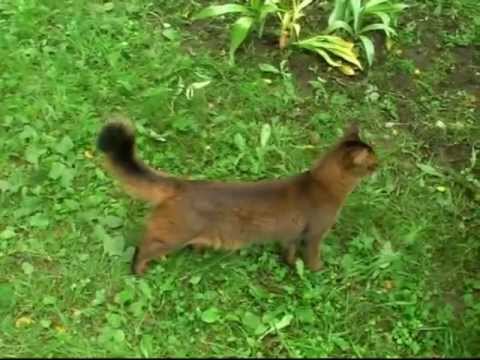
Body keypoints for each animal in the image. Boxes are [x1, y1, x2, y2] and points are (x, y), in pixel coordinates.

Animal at [95, 119, 376, 276]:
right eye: (372, 161)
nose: (380, 165)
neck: (322, 184)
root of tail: (182, 184)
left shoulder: (292, 235)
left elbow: (288, 252)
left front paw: (290, 265)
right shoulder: (315, 234)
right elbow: (313, 257)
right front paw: (319, 273)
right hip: (172, 235)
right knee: (143, 247)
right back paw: (139, 271)